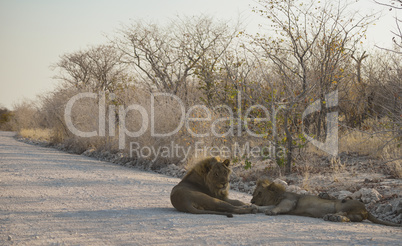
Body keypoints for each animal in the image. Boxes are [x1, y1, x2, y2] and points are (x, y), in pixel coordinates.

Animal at [250, 179, 400, 227]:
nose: (251, 200)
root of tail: (367, 211)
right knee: (348, 217)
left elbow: (278, 207)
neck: (277, 196)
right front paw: (254, 208)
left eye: (259, 193)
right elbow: (265, 207)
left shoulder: (290, 202)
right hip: (352, 214)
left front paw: (270, 211)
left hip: (344, 204)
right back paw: (333, 217)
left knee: (343, 207)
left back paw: (331, 214)